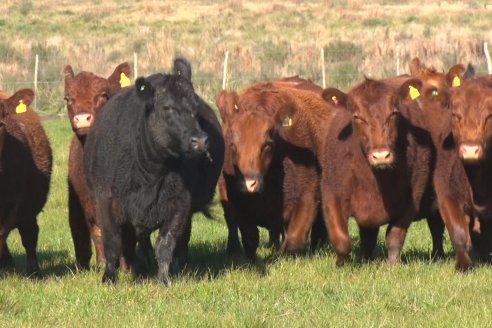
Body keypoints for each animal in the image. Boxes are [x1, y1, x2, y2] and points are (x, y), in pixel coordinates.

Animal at [64, 62, 135, 270]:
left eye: (103, 95)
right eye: (68, 98)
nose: (82, 118)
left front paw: (127, 267)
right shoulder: (89, 201)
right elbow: (99, 231)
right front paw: (104, 264)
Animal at [83, 57, 224, 284]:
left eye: (195, 108)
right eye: (167, 107)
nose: (200, 140)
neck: (150, 172)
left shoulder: (180, 203)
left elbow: (165, 245)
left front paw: (164, 279)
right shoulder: (106, 201)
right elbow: (112, 243)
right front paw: (109, 278)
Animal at [218, 79, 330, 258]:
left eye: (268, 144)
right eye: (233, 144)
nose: (248, 183)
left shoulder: (307, 197)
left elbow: (293, 241)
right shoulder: (237, 203)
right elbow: (250, 237)